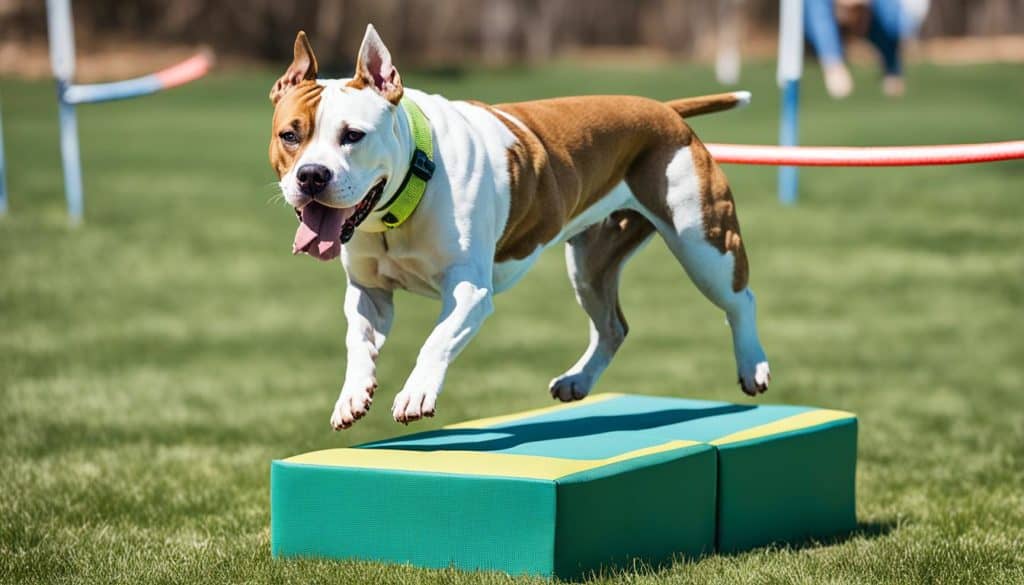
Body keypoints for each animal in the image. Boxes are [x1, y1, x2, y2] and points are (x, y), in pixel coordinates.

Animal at [270, 25, 770, 430]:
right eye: (290, 135)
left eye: (353, 135)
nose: (311, 176)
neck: (410, 186)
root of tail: (662, 110)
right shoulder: (369, 292)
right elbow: (358, 341)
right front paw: (353, 395)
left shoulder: (469, 291)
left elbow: (436, 340)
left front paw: (415, 393)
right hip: (591, 264)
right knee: (612, 326)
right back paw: (577, 380)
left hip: (703, 243)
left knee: (740, 298)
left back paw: (754, 367)